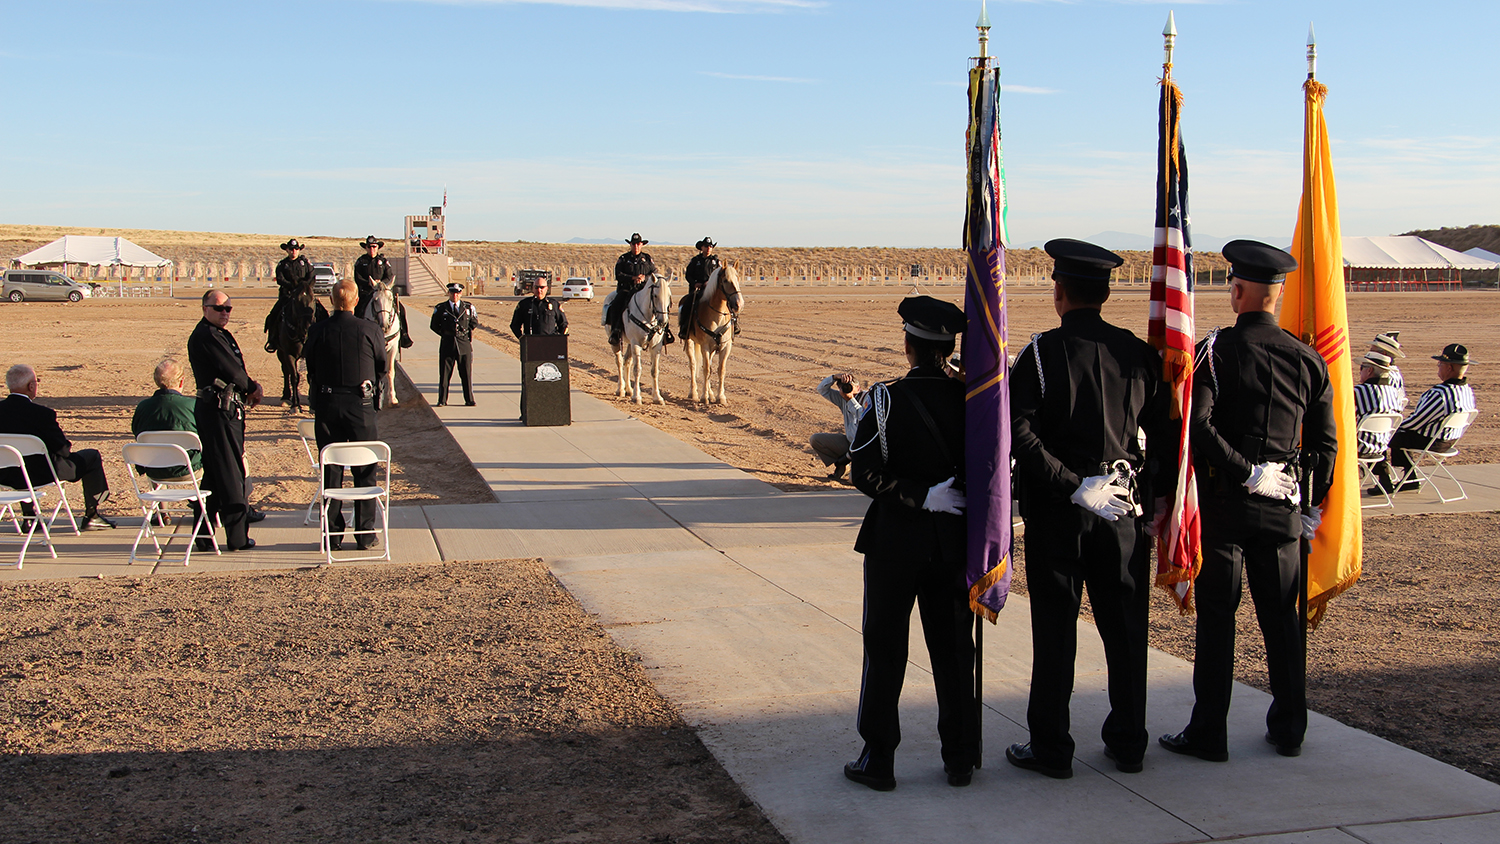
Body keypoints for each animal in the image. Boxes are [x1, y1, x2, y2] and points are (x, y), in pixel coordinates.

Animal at [364, 280, 402, 410]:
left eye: (390, 299)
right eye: (375, 300)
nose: (384, 324)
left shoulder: (393, 347)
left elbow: (390, 372)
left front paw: (393, 398)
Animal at [600, 275, 672, 404]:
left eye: (669, 296)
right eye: (655, 295)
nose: (663, 321)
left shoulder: (656, 347)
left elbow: (654, 371)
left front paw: (657, 397)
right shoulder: (636, 344)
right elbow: (637, 369)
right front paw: (637, 396)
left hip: (629, 344)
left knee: (627, 361)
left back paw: (628, 389)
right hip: (616, 342)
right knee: (619, 361)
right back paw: (621, 389)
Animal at [687, 265, 744, 407]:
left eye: (738, 278)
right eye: (725, 280)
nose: (739, 304)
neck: (717, 316)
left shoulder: (725, 346)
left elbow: (720, 370)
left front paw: (720, 397)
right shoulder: (705, 346)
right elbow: (706, 370)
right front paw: (704, 397)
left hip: (712, 350)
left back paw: (711, 394)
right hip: (690, 343)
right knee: (693, 365)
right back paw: (693, 393)